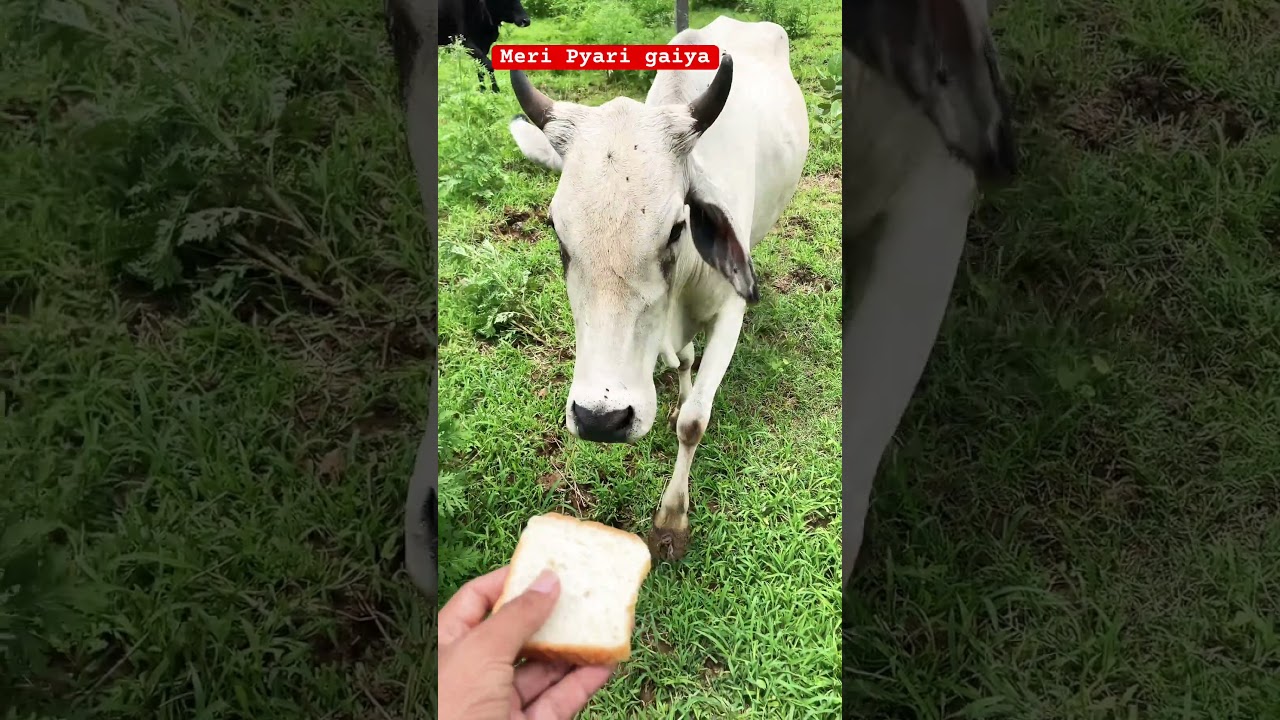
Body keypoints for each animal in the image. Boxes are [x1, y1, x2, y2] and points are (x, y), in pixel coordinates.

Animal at [506, 16, 810, 562]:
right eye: (556, 229)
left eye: (674, 228)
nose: (601, 419)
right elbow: (684, 364)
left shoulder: (729, 313)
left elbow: (694, 421)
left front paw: (672, 520)